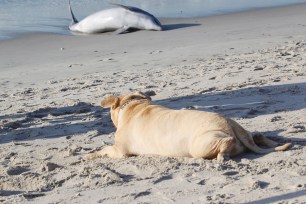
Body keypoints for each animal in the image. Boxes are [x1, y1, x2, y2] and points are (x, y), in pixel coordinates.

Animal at [85, 91, 290, 162]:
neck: (134, 105)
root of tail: (229, 123)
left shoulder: (119, 150)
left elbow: (104, 149)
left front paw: (91, 155)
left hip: (201, 145)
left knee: (226, 142)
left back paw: (222, 155)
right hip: (242, 130)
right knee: (256, 135)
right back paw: (272, 142)